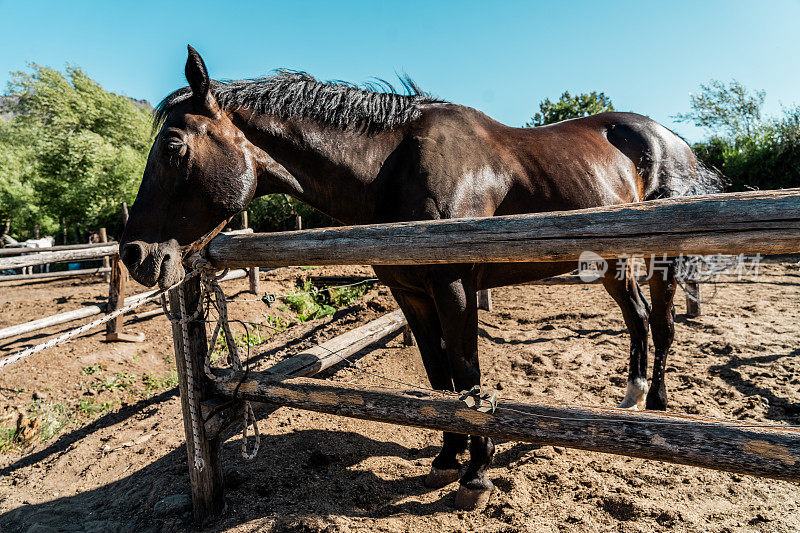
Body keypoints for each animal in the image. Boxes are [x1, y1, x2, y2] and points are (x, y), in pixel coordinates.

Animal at [120, 47, 724, 510]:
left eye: (173, 147)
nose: (134, 254)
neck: (393, 168)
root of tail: (670, 140)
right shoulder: (410, 294)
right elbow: (440, 379)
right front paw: (447, 457)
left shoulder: (454, 286)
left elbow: (469, 376)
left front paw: (477, 475)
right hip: (613, 263)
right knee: (640, 320)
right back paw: (632, 397)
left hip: (660, 256)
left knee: (663, 324)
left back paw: (657, 406)